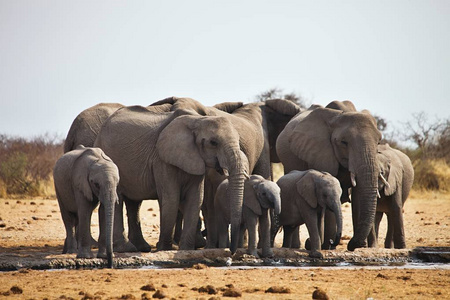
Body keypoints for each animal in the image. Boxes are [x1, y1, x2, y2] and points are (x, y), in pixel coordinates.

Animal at [95, 105, 250, 253]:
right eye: (213, 142)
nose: (231, 251)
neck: (197, 120)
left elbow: (195, 199)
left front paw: (185, 249)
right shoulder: (161, 159)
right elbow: (171, 198)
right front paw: (164, 248)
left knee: (134, 202)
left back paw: (141, 248)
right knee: (119, 198)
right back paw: (126, 248)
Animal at [276, 103, 382, 251]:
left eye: (379, 142)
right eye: (344, 142)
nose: (351, 245)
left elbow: (358, 194)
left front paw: (361, 246)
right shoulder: (320, 153)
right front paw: (327, 246)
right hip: (288, 159)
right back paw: (296, 246)